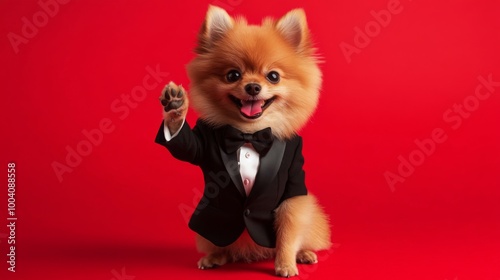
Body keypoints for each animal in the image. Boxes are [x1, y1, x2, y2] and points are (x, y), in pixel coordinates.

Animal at [154, 5, 330, 276]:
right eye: (233, 75)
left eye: (273, 76)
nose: (253, 87)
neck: (250, 133)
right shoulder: (201, 144)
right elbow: (184, 143)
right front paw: (175, 107)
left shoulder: (293, 182)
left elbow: (288, 231)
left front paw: (285, 263)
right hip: (207, 232)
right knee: (220, 244)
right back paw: (216, 256)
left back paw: (304, 253)